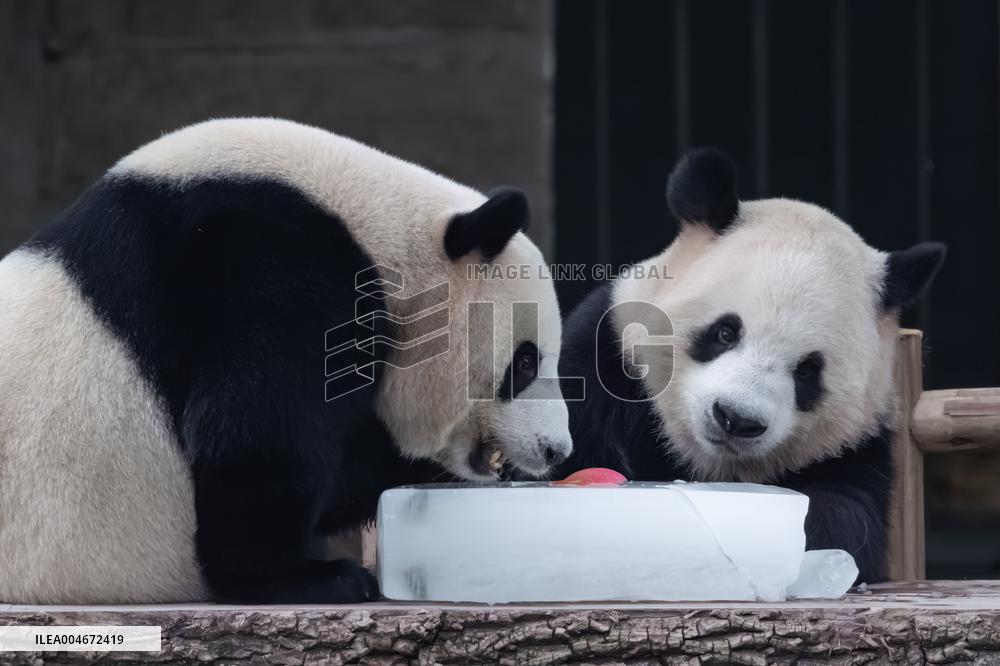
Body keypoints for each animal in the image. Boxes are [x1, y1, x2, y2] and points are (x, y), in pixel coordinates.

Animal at [557, 148, 945, 583]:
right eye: (725, 332)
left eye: (808, 370)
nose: (736, 419)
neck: (704, 463)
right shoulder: (603, 356)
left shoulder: (857, 445)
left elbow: (845, 520)